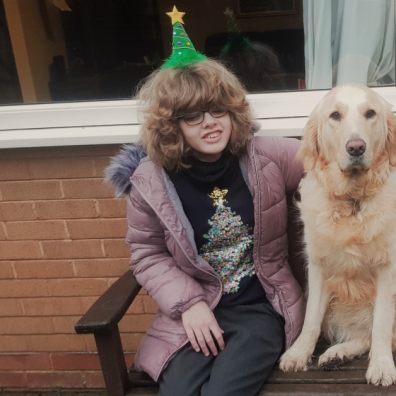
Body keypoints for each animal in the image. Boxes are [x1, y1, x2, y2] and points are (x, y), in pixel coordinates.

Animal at [280, 84, 396, 386]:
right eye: (335, 115)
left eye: (370, 113)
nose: (356, 147)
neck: (352, 201)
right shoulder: (318, 267)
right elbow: (310, 320)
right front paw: (298, 353)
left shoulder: (388, 268)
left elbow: (381, 324)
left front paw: (382, 366)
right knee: (362, 335)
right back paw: (337, 354)